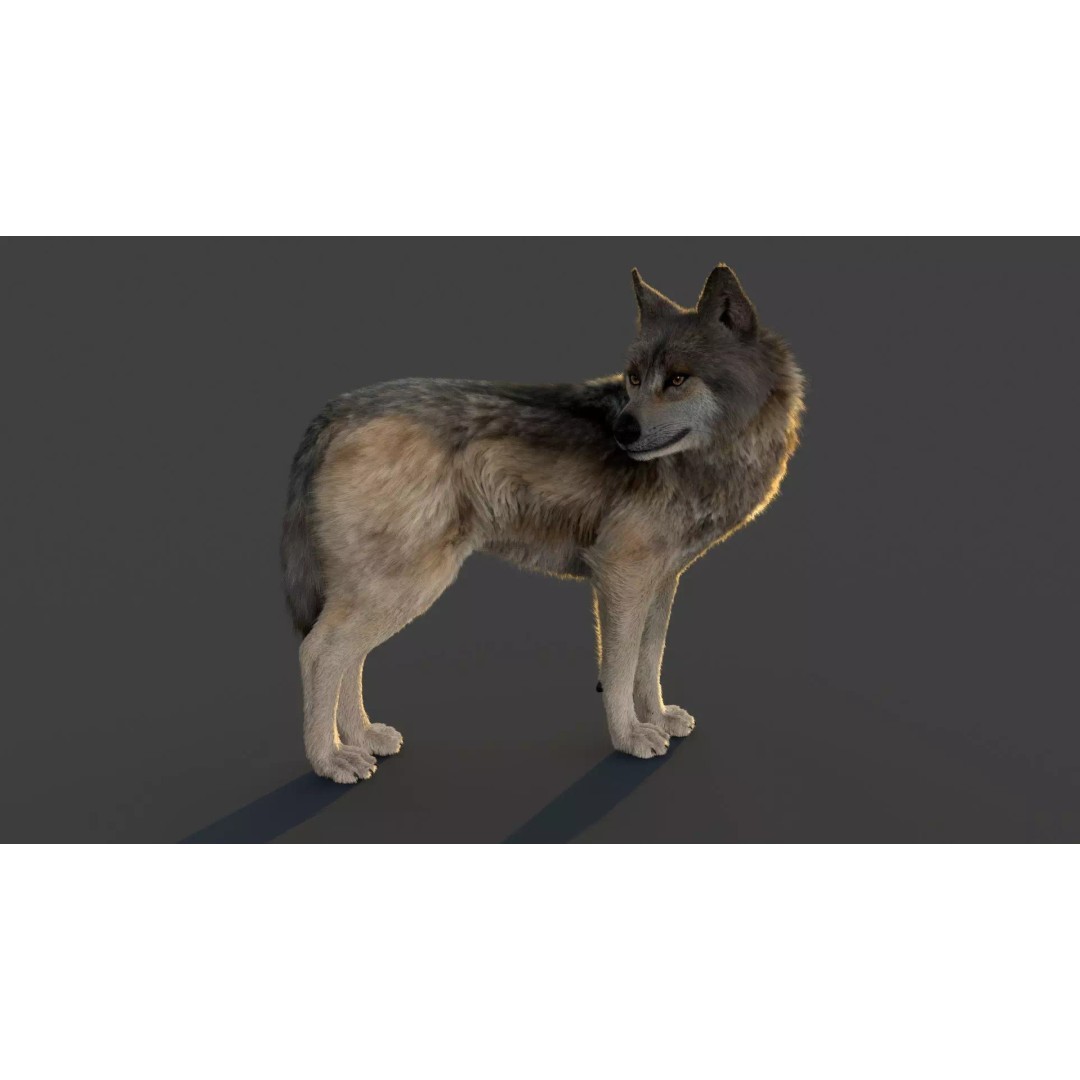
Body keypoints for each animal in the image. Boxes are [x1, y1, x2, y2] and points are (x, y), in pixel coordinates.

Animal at [281, 264, 804, 783]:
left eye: (678, 379)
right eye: (635, 378)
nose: (622, 430)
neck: (708, 459)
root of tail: (339, 410)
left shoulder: (661, 581)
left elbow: (649, 661)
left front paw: (656, 718)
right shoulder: (622, 576)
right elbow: (620, 671)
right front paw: (630, 738)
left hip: (383, 592)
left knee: (349, 656)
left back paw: (363, 737)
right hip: (404, 586)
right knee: (317, 652)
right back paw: (330, 760)